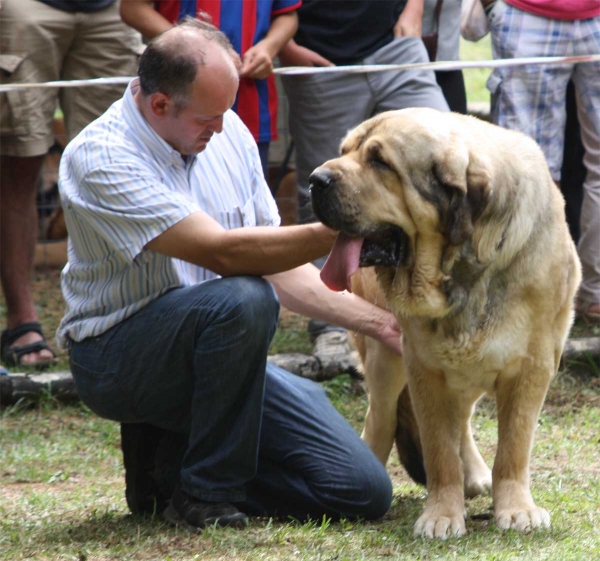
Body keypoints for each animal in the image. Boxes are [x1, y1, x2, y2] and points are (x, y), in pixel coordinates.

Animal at [310, 108, 580, 540]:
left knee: (463, 420)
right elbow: (439, 450)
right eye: (345, 151)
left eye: (380, 161)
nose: (315, 179)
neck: (463, 269)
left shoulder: (532, 365)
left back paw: (476, 474)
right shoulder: (424, 368)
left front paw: (516, 509)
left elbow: (514, 447)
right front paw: (441, 514)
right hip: (385, 359)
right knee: (381, 419)